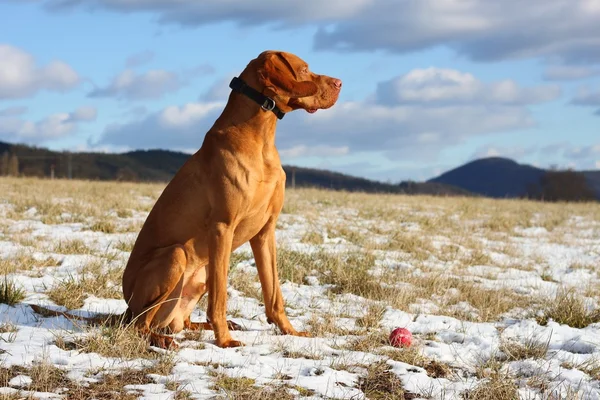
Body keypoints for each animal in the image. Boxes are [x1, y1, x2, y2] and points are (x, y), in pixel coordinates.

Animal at [120, 51, 342, 348]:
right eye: (305, 69)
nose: (340, 83)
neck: (260, 139)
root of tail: (125, 307)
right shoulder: (222, 228)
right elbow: (220, 299)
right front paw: (224, 341)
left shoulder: (265, 232)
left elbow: (274, 294)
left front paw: (291, 331)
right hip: (175, 256)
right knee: (138, 324)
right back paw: (163, 339)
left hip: (201, 275)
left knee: (179, 322)